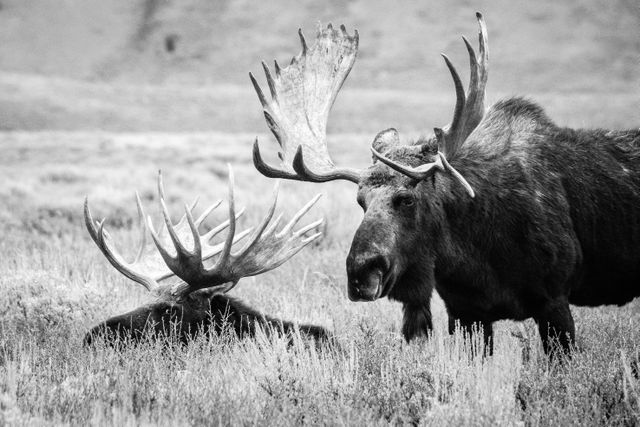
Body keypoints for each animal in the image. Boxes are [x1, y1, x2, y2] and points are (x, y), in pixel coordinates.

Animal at [250, 13, 640, 354]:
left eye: (406, 198)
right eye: (361, 201)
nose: (360, 273)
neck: (476, 251)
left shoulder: (554, 300)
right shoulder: (466, 313)